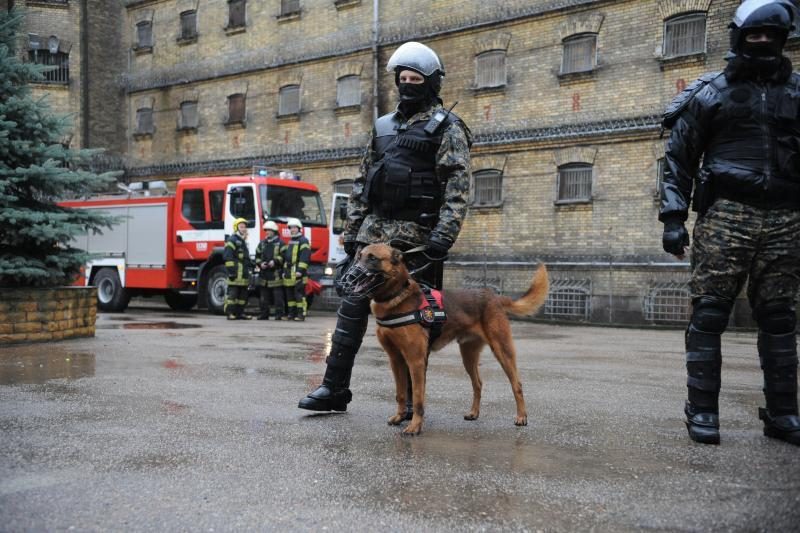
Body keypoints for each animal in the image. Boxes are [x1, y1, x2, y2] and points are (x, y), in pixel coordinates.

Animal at [344, 243, 552, 434]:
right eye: (358, 257)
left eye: (372, 258)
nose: (348, 277)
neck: (395, 297)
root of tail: (493, 297)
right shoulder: (396, 359)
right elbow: (401, 393)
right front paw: (400, 416)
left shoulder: (416, 360)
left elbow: (418, 397)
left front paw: (415, 426)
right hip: (468, 356)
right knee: (478, 383)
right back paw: (474, 413)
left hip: (502, 350)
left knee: (516, 384)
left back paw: (521, 417)